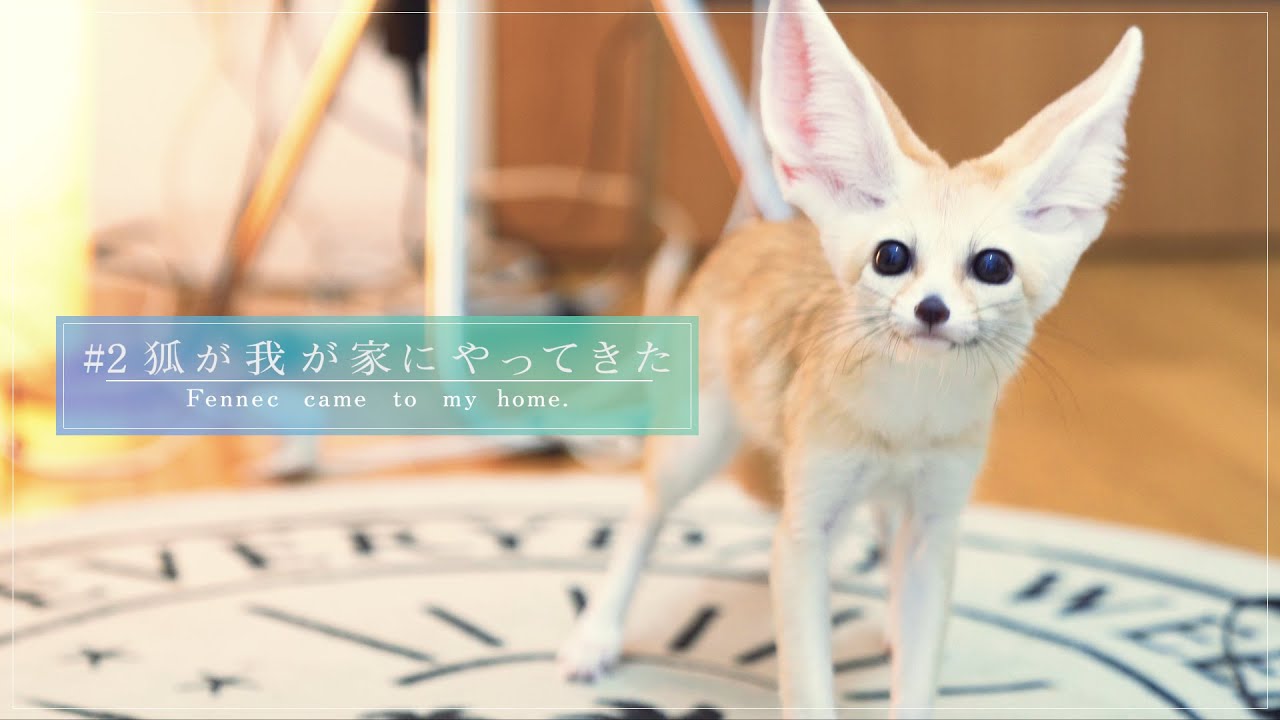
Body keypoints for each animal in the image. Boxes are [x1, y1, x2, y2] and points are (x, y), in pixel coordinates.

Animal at [558, 1, 1143, 717]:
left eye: (992, 266)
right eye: (892, 256)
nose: (931, 309)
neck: (905, 421)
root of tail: (765, 224)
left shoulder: (934, 523)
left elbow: (918, 671)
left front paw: (907, 650)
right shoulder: (805, 528)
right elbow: (809, 681)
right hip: (692, 451)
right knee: (643, 517)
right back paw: (597, 634)